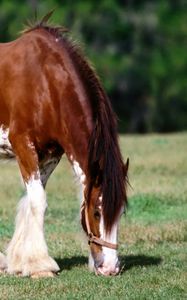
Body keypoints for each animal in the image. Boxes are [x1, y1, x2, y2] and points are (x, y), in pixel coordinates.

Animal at [0, 13, 128, 276]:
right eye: (97, 212)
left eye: (121, 212)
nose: (110, 268)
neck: (45, 83)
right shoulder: (22, 145)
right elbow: (38, 201)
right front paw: (40, 266)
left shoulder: (50, 155)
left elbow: (30, 200)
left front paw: (19, 261)